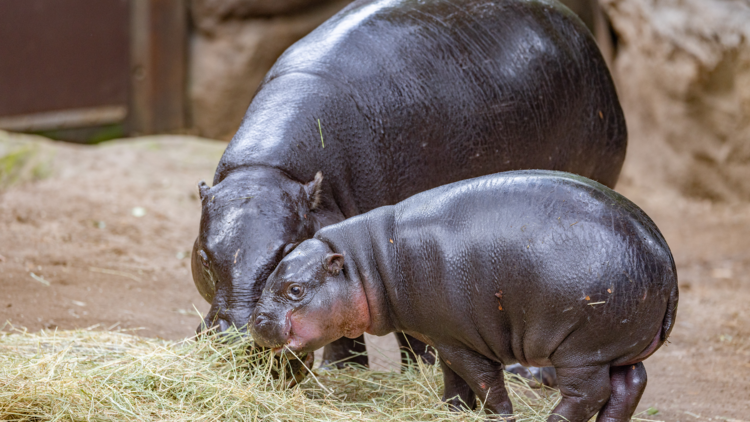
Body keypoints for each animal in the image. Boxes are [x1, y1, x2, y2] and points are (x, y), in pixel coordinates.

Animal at [194, 0, 628, 368]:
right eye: (202, 255)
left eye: (286, 250)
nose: (236, 336)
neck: (268, 170)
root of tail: (576, 25)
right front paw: (343, 370)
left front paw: (418, 370)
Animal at [253, 170, 680, 420]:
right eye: (274, 273)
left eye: (295, 289)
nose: (257, 321)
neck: (366, 263)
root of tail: (664, 255)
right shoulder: (444, 337)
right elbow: (453, 378)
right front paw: (452, 409)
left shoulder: (462, 341)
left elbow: (484, 381)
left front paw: (500, 416)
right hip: (615, 345)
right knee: (629, 386)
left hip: (581, 347)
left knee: (589, 394)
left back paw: (553, 420)